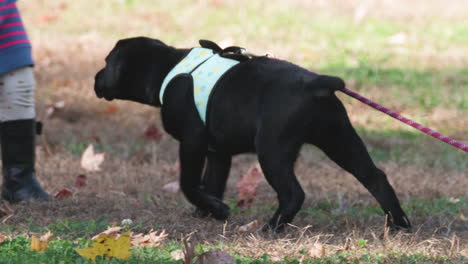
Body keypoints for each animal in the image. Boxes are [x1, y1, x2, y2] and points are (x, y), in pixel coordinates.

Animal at [94, 37, 410, 231]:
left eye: (107, 62)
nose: (96, 77)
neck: (166, 67)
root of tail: (313, 83)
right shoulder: (217, 153)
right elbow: (212, 183)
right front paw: (211, 211)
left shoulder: (192, 142)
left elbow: (189, 184)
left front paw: (214, 210)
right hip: (339, 138)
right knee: (374, 177)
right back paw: (399, 223)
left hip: (272, 150)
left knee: (293, 193)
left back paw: (272, 227)